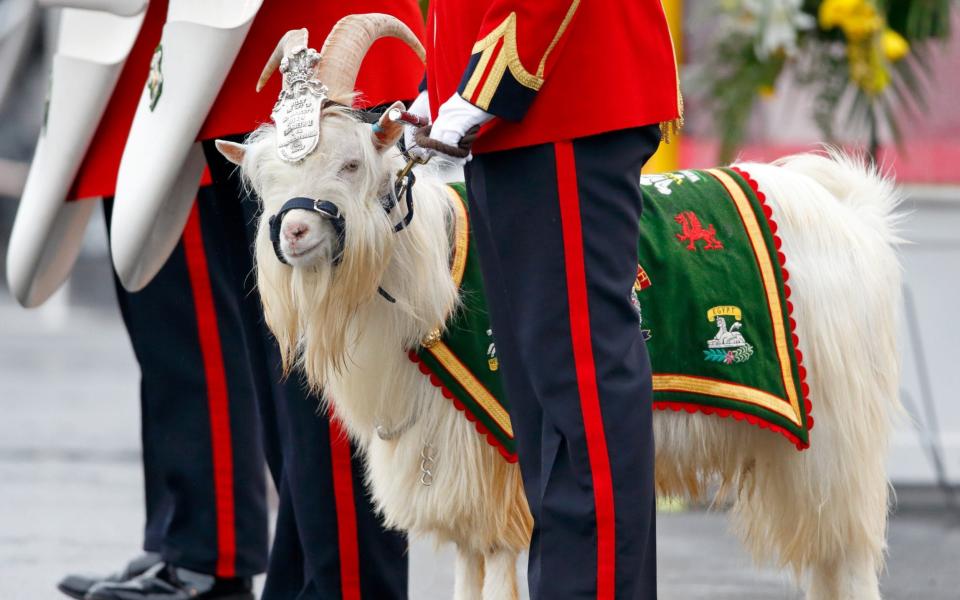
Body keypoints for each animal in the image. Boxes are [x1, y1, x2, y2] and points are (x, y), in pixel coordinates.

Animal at [216, 14, 900, 600]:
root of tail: (844, 205)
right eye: (265, 183)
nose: (293, 233)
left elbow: (497, 575)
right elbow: (467, 576)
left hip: (835, 435)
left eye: (352, 163)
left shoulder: (499, 470)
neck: (434, 275)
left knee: (847, 553)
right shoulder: (458, 477)